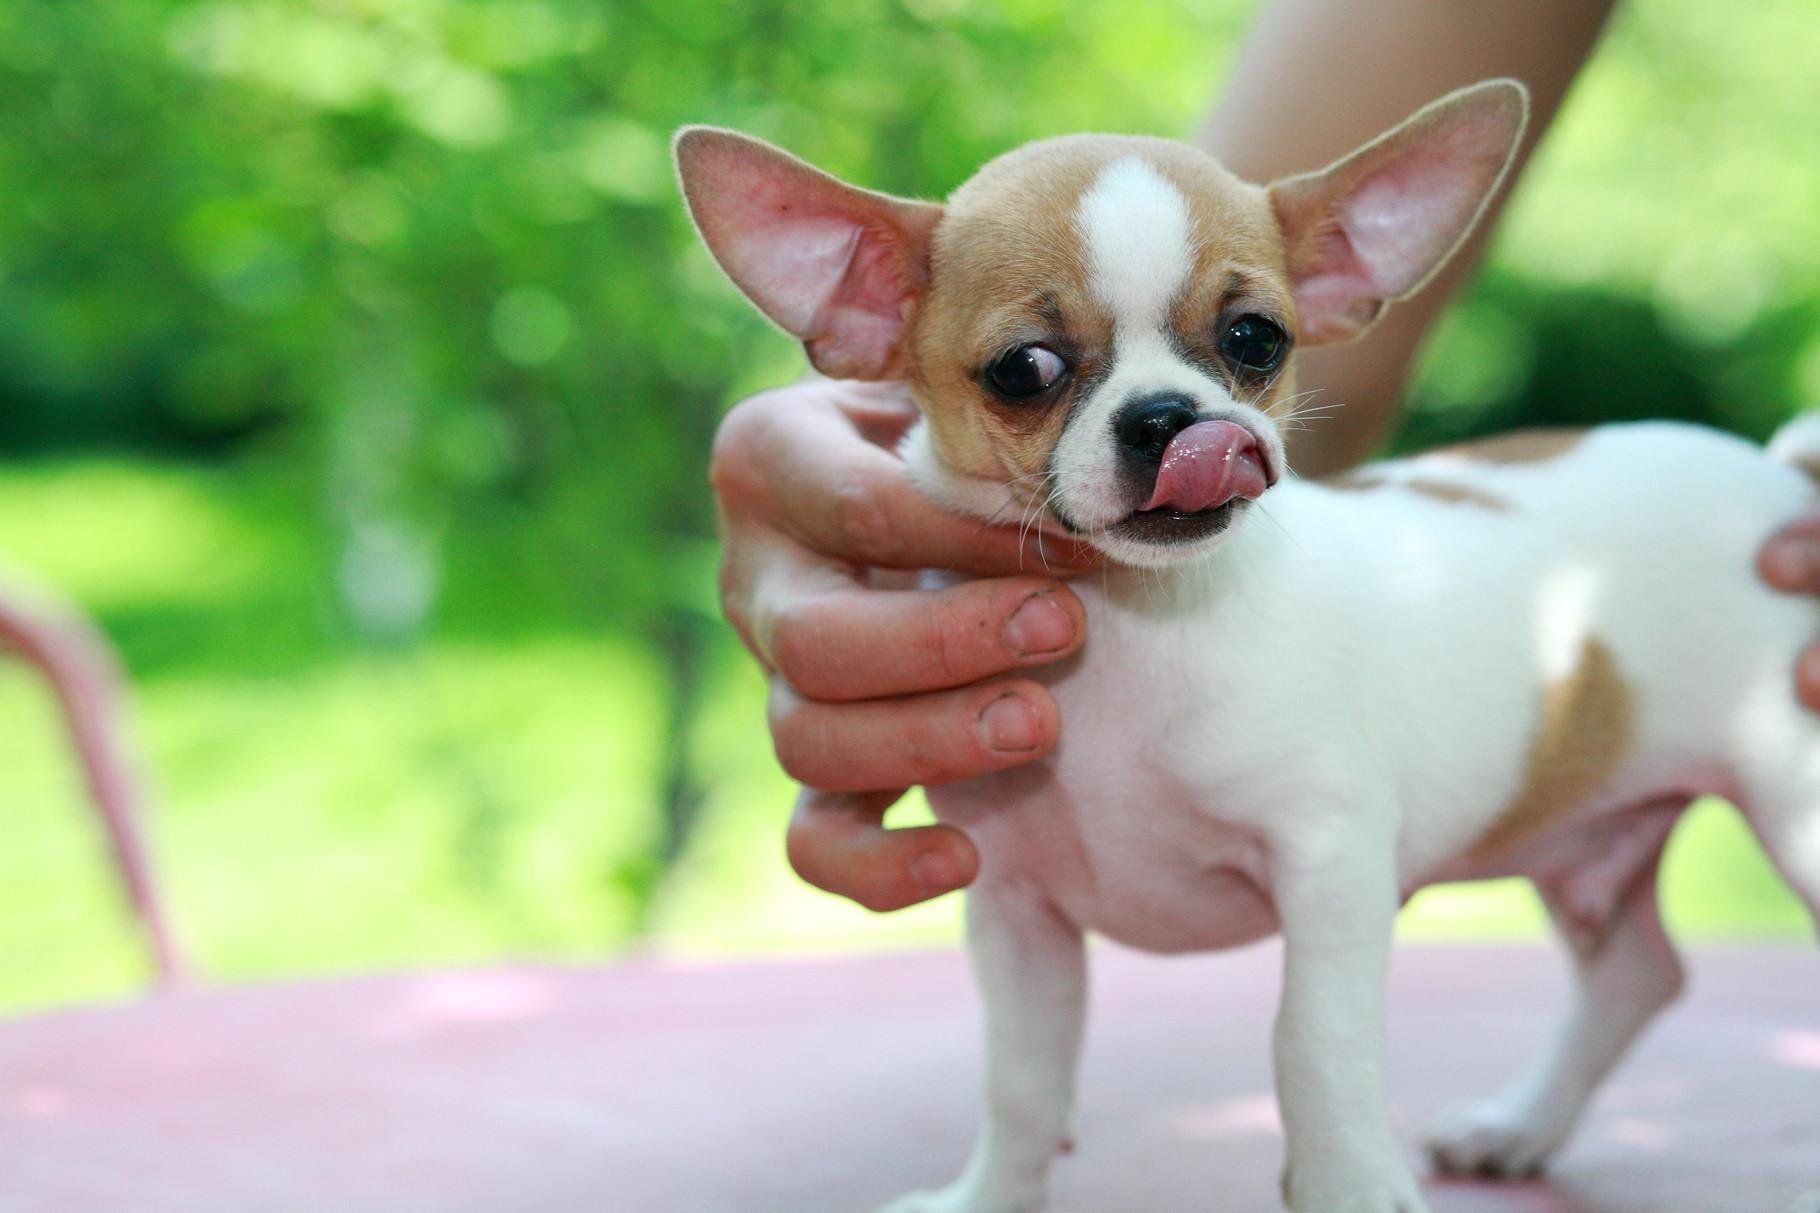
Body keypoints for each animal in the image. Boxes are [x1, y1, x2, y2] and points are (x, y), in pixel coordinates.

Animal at [673, 80, 1820, 1202]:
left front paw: (1351, 1187)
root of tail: (1779, 480)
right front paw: (991, 1196)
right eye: (1023, 369)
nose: (1171, 419)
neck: (1131, 633)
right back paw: (1517, 1125)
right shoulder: (1016, 915)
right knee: (1637, 973)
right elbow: (1023, 1083)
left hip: (1792, 809)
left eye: (1255, 340)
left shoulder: (1330, 870)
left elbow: (1312, 1051)